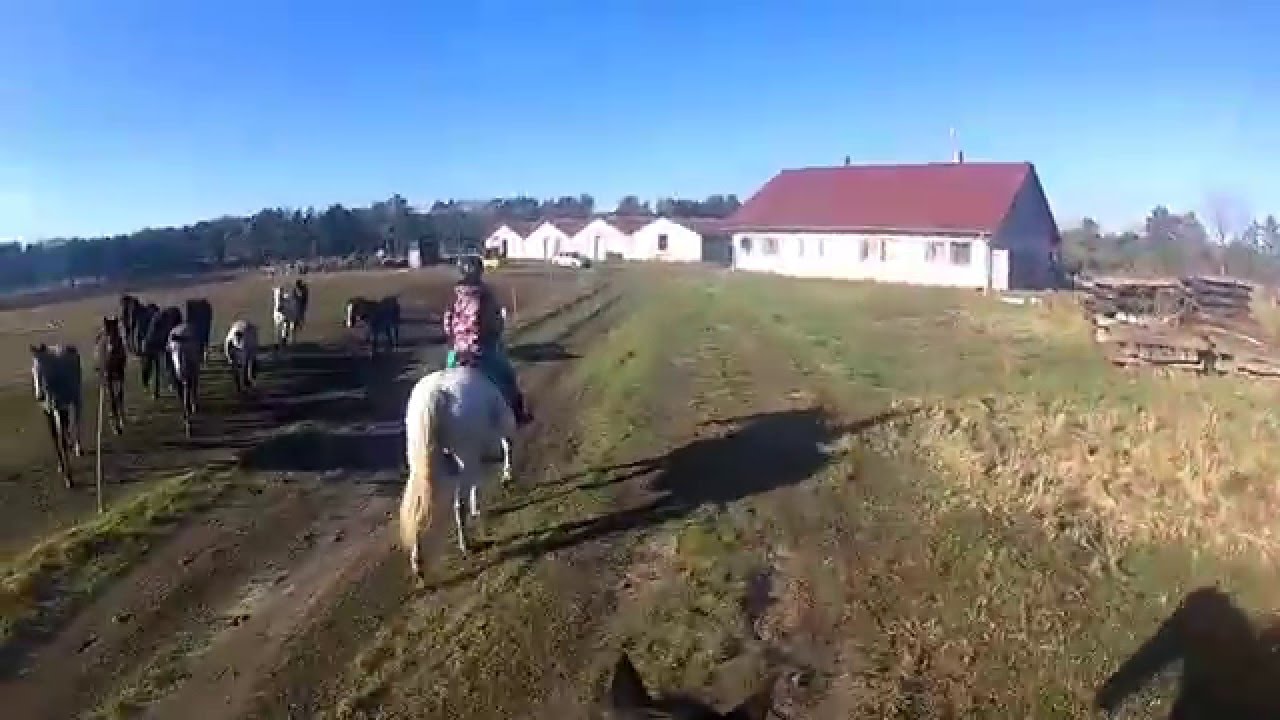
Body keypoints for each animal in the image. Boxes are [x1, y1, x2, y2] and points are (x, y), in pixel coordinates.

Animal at [30, 344, 84, 488]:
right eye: (33, 370)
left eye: (46, 368)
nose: (39, 396)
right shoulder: (48, 412)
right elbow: (55, 440)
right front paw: (61, 466)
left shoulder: (60, 409)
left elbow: (62, 442)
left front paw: (69, 478)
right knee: (66, 427)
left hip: (76, 398)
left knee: (76, 421)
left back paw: (78, 448)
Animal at [398, 366, 516, 578]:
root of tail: (436, 393)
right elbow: (506, 445)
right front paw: (506, 478)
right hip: (466, 452)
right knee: (458, 504)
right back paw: (465, 544)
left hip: (419, 457)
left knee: (417, 507)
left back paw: (418, 562)